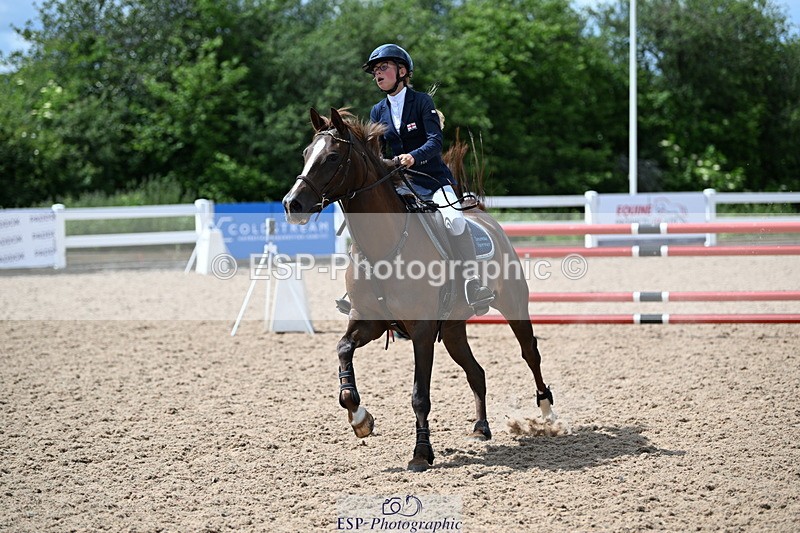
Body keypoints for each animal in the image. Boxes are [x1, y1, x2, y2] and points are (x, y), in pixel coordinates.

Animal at [283, 107, 555, 472]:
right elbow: (343, 351)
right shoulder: (368, 322)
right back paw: (481, 428)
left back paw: (547, 411)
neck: (383, 247)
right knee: (476, 372)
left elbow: (419, 396)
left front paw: (421, 453)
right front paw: (360, 418)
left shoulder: (422, 330)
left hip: (513, 306)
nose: (292, 204)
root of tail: (482, 214)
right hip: (453, 329)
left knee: (530, 353)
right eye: (305, 154)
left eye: (332, 157)